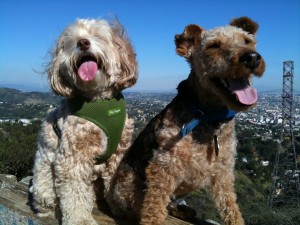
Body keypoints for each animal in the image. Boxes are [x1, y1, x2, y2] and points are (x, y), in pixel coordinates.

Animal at [105, 17, 264, 225]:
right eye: (214, 45)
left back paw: (183, 210)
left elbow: (231, 207)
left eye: (247, 40)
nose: (252, 58)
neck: (208, 117)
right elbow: (153, 211)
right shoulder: (163, 167)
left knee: (170, 204)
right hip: (130, 187)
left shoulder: (223, 172)